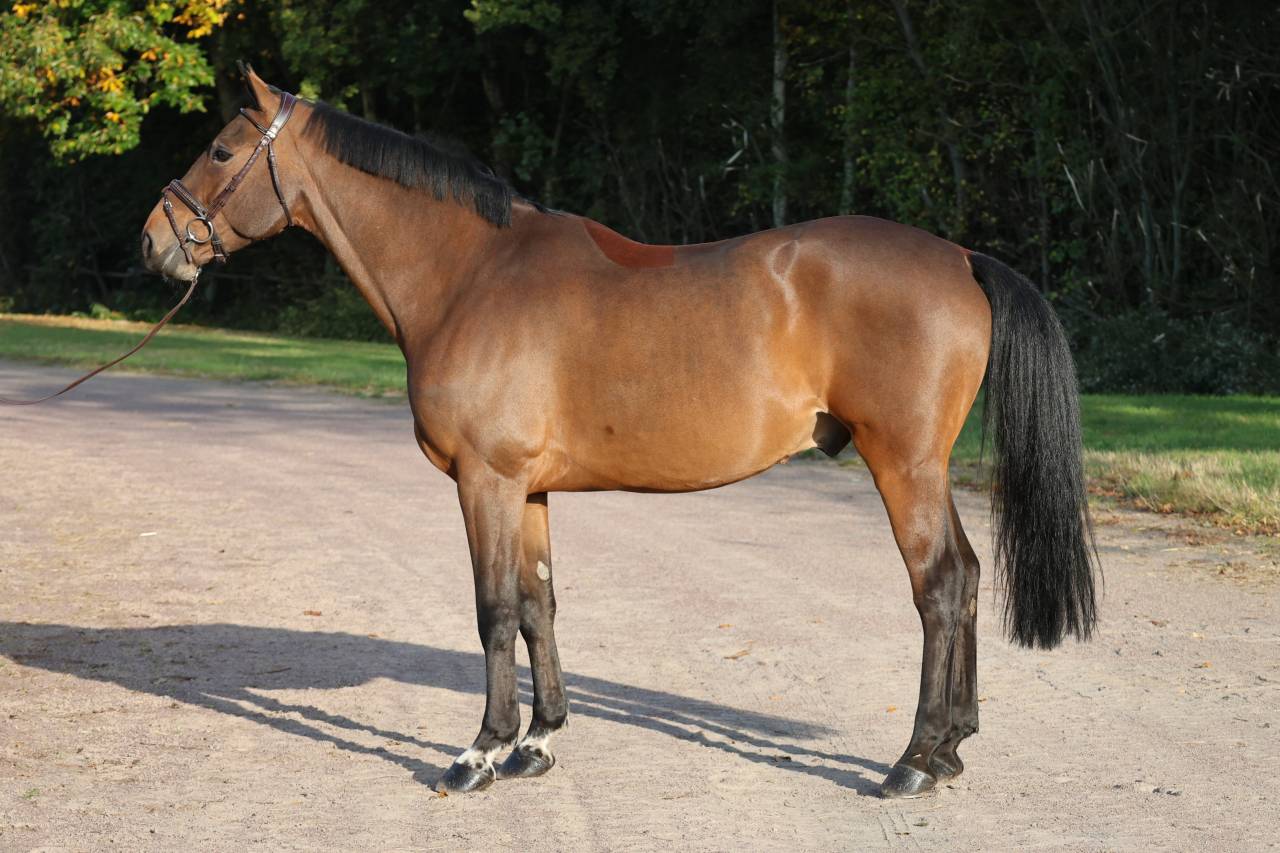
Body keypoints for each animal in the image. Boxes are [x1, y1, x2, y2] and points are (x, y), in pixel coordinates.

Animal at [140, 67, 1097, 799]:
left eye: (221, 150)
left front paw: (477, 753)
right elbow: (538, 605)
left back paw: (914, 761)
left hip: (903, 463)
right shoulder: (527, 487)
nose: (156, 242)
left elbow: (493, 611)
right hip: (924, 466)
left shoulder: (485, 480)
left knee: (939, 586)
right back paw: (954, 746)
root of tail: (960, 259)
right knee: (967, 579)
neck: (470, 274)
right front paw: (536, 742)